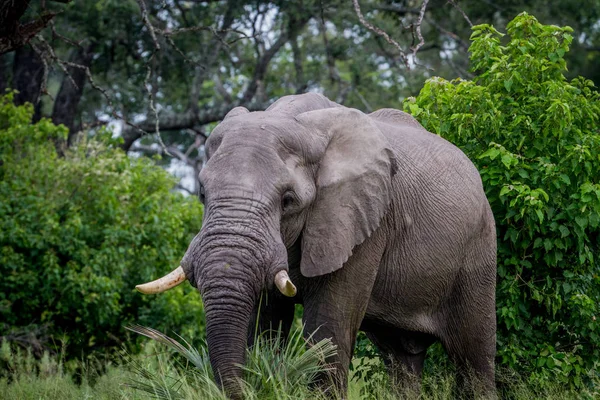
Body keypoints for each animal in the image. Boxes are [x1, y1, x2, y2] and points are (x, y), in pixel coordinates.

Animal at [136, 93, 496, 396]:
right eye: (201, 193)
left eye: (288, 200)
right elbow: (265, 321)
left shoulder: (362, 222)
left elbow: (328, 329)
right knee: (401, 358)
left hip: (479, 248)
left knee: (474, 357)